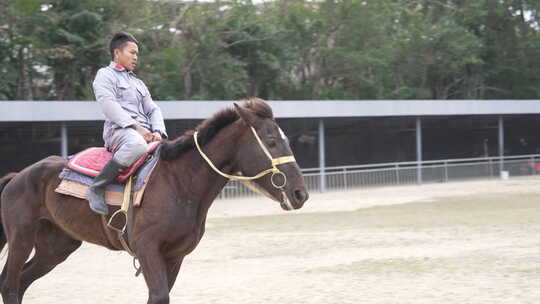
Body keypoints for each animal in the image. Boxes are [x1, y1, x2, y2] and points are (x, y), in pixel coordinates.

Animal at [0, 98, 308, 302]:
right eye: (271, 141)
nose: (300, 194)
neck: (179, 183)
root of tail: (18, 177)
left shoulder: (175, 255)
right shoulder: (148, 249)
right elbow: (158, 296)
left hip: (56, 247)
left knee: (21, 282)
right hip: (21, 238)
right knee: (10, 284)